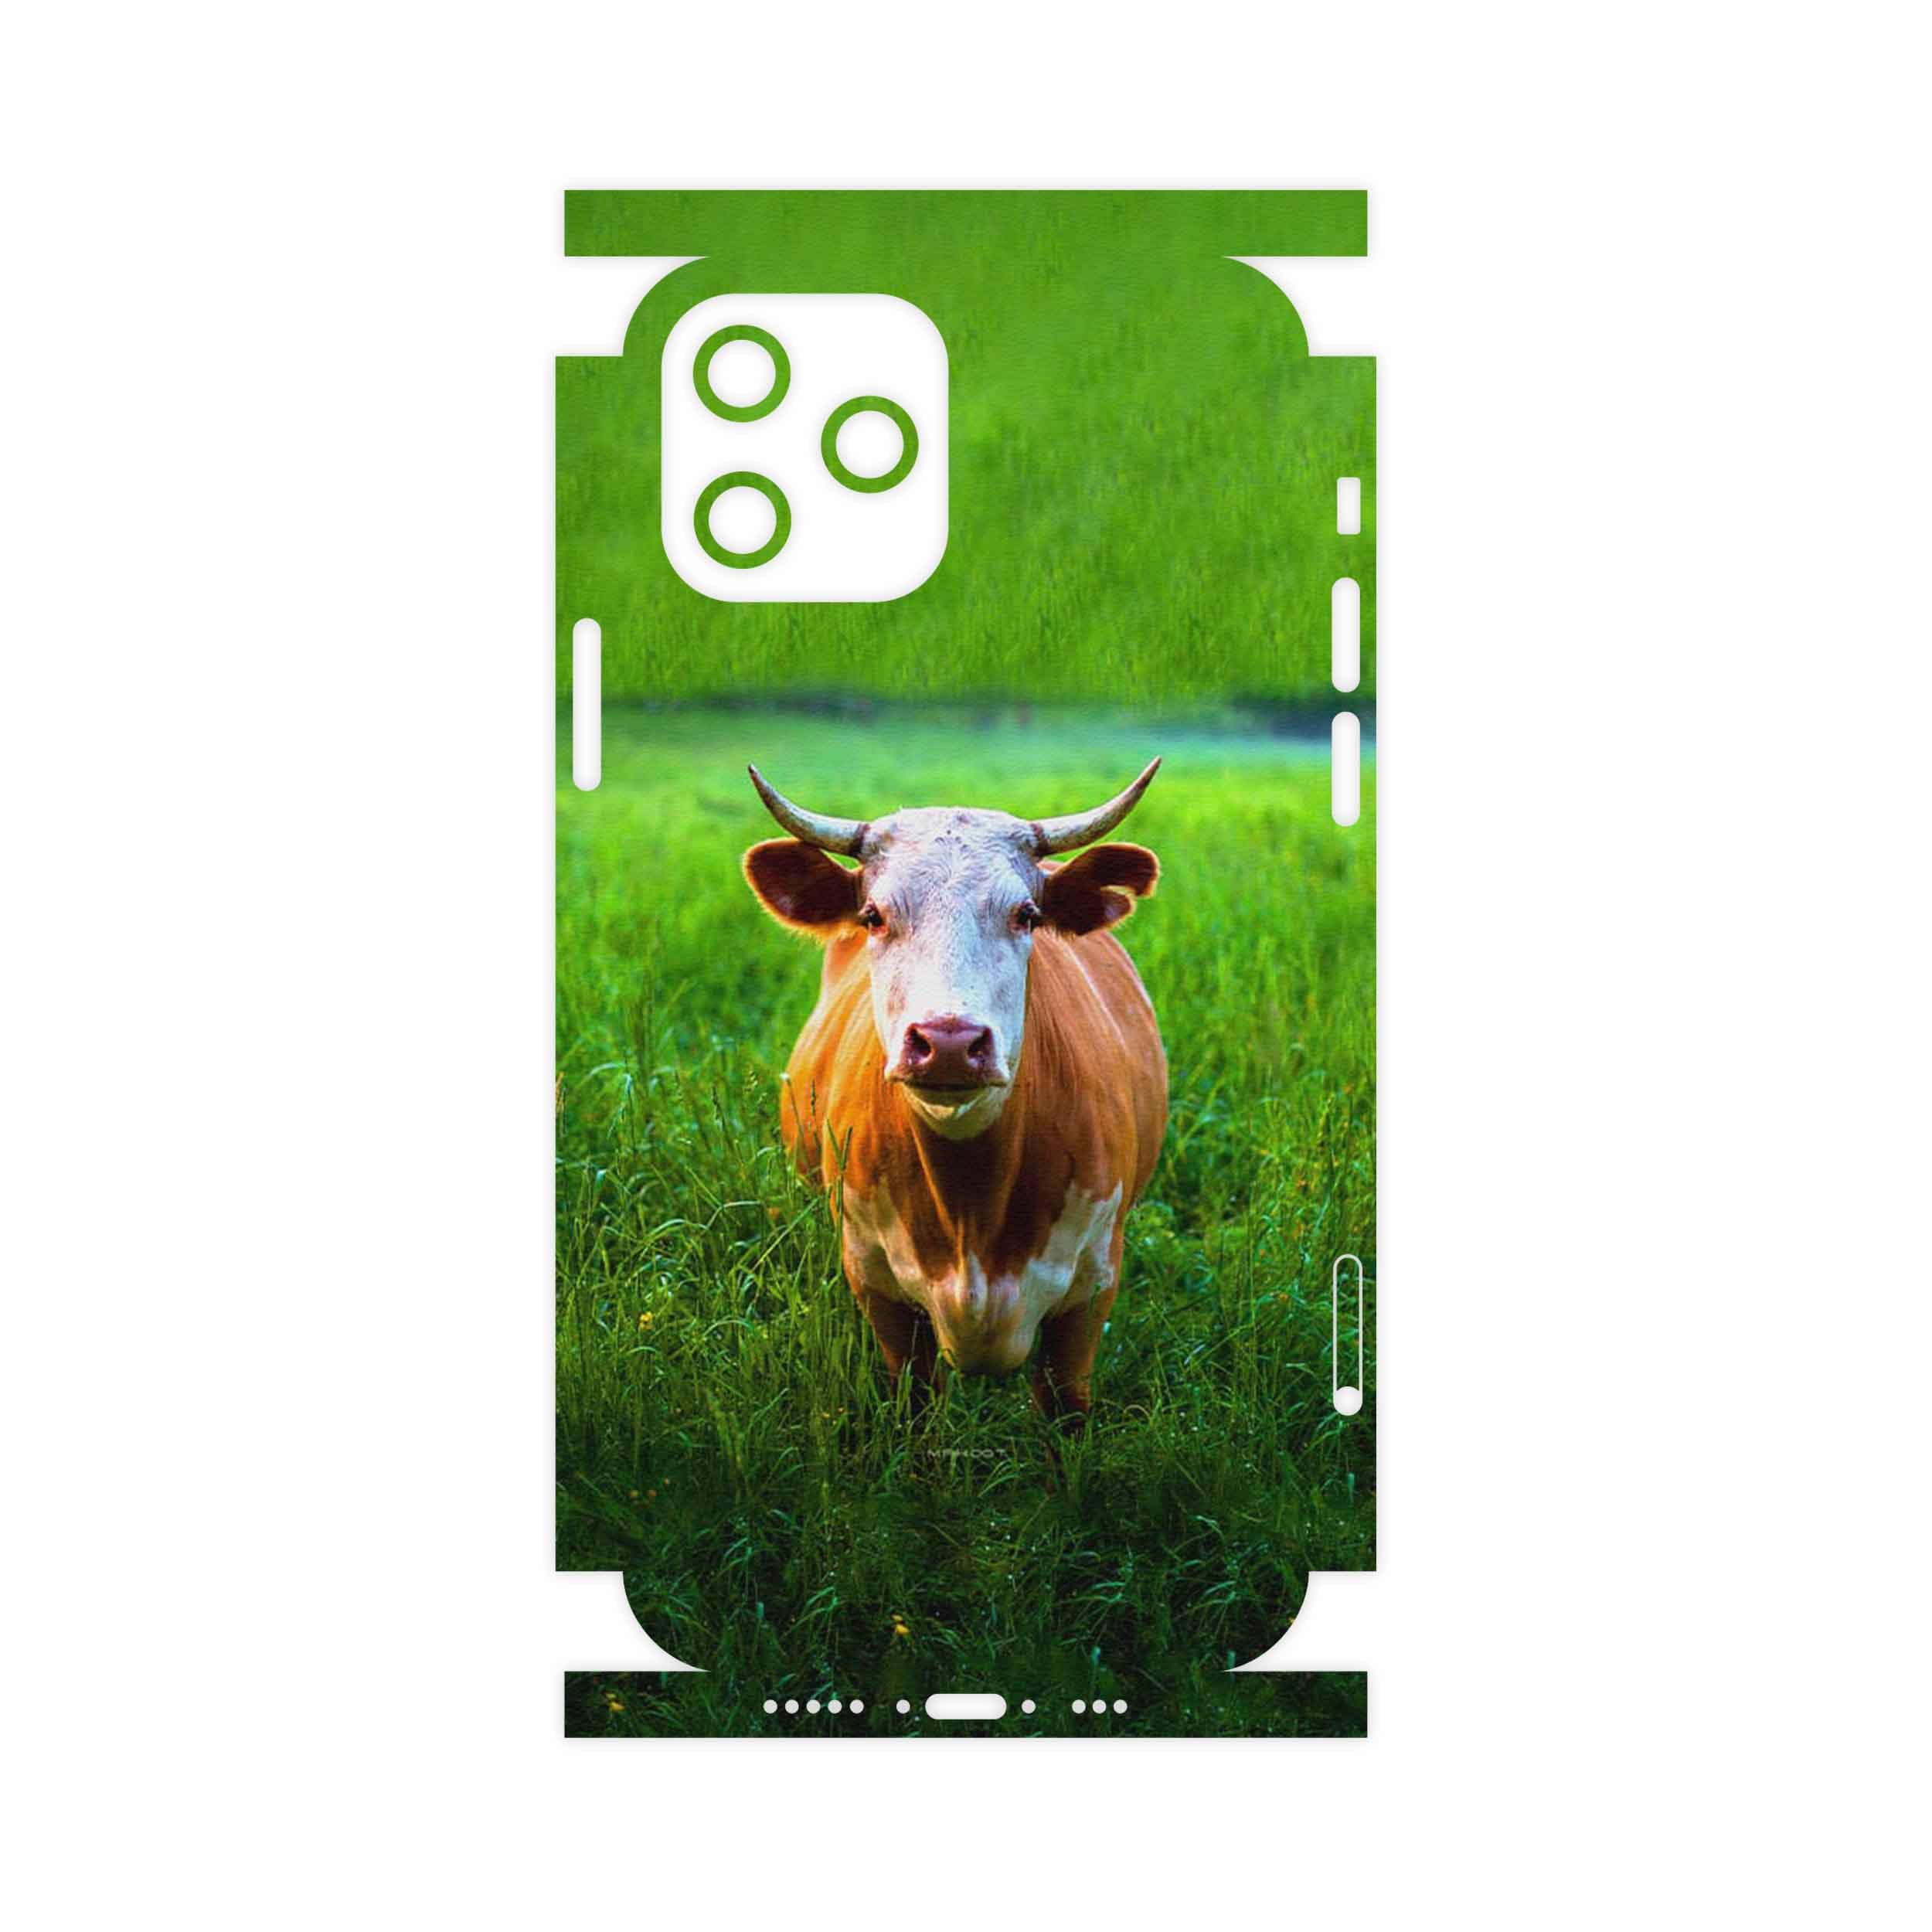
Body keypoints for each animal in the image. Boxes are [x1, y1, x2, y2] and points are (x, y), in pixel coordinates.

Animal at [741, 760, 1168, 1426]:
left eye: (1026, 915)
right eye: (873, 915)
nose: (948, 1041)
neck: (973, 1206)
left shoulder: (1091, 1290)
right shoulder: (878, 1287)